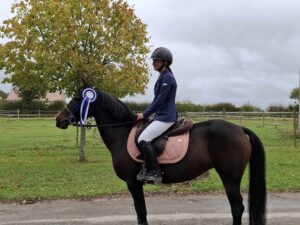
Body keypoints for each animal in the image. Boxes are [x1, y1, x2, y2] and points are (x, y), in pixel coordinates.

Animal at [55, 84, 266, 225]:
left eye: (77, 98)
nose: (59, 119)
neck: (122, 133)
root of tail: (239, 129)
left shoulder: (133, 182)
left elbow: (141, 212)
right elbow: (142, 212)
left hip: (230, 178)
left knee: (237, 208)